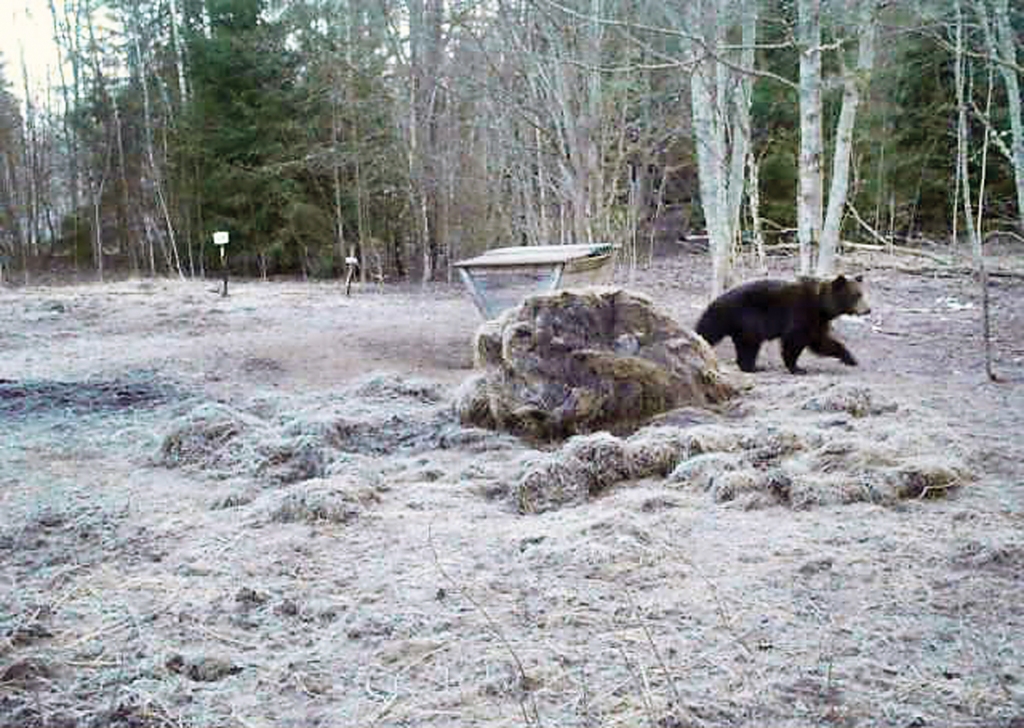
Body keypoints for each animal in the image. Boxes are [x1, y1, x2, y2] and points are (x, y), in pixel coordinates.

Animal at [692, 274, 868, 376]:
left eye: (862, 294)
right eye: (856, 295)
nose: (868, 309)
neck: (821, 306)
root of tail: (716, 301)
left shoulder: (817, 321)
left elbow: (822, 342)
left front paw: (850, 358)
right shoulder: (800, 313)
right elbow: (794, 340)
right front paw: (797, 368)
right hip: (745, 318)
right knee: (734, 340)